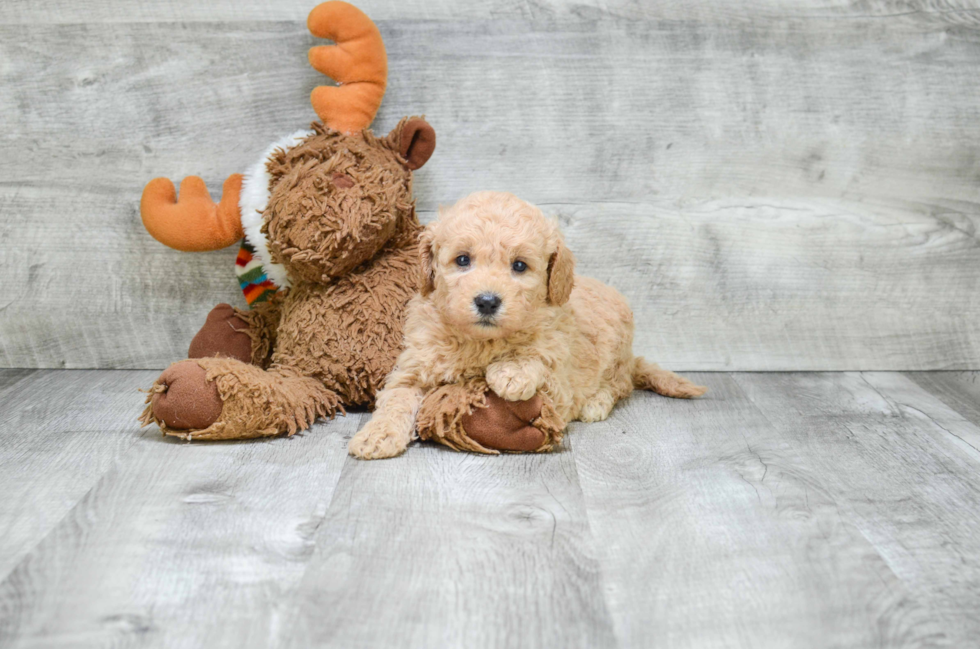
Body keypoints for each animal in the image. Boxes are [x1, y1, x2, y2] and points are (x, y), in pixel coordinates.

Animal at [350, 190, 704, 458]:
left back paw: (596, 402)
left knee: (620, 386)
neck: (480, 342)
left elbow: (537, 355)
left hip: (617, 349)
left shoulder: (559, 382)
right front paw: (377, 435)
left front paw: (511, 372)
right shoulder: (413, 368)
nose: (487, 301)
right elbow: (396, 400)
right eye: (462, 260)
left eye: (519, 266)